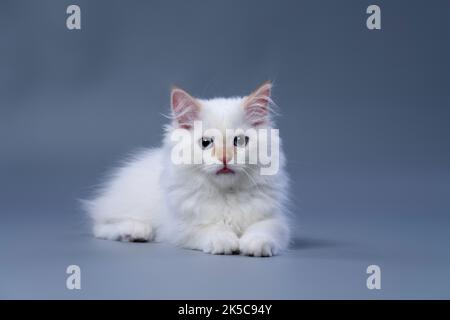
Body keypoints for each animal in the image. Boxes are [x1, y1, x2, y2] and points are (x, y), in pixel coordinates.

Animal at [82, 82, 290, 258]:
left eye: (239, 141)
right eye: (206, 143)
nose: (224, 158)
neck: (226, 194)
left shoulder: (275, 220)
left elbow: (263, 230)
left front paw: (255, 245)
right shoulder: (182, 226)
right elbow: (210, 228)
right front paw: (224, 241)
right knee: (101, 227)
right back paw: (136, 231)